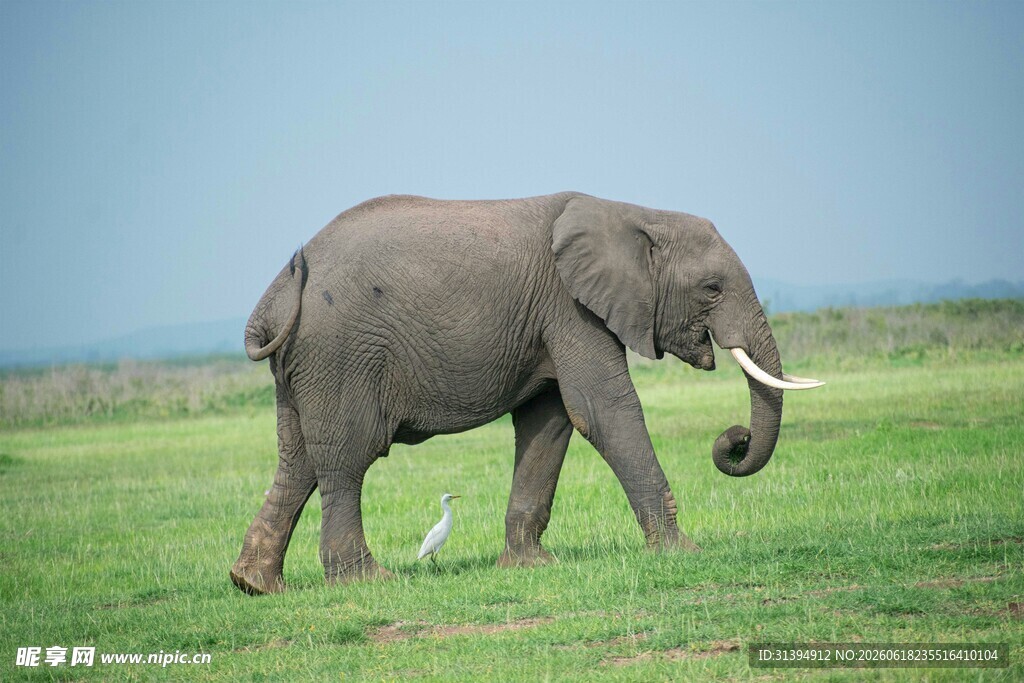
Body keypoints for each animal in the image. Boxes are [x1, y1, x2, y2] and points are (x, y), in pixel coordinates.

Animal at [230, 192, 823, 595]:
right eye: (712, 289)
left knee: (299, 460)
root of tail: (277, 296)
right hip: (340, 355)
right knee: (348, 458)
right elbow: (603, 412)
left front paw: (529, 566)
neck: (633, 213)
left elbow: (550, 422)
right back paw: (367, 581)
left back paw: (254, 584)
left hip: (305, 367)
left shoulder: (552, 318)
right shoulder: (572, 308)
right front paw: (682, 552)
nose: (734, 440)